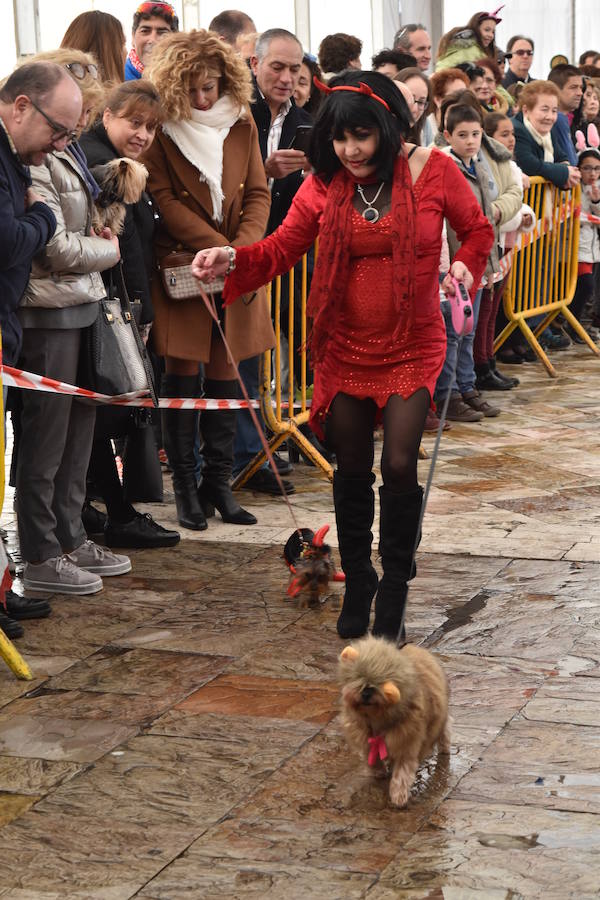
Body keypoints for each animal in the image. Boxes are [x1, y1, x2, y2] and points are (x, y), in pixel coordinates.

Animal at [338, 636, 450, 804]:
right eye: (357, 678)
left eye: (384, 684)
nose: (366, 692)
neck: (377, 717)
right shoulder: (365, 737)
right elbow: (372, 756)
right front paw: (378, 771)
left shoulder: (407, 743)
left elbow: (402, 774)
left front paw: (398, 795)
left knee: (445, 729)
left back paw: (444, 748)